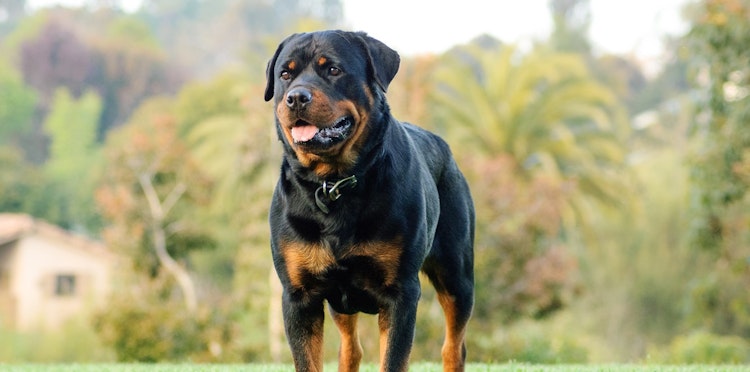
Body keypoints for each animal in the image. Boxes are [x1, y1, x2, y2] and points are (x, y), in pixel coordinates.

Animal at [264, 30, 476, 370]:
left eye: (333, 70)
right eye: (285, 74)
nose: (296, 97)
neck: (334, 183)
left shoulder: (401, 293)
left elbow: (393, 359)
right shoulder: (299, 295)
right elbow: (308, 360)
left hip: (457, 274)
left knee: (454, 346)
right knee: (350, 348)